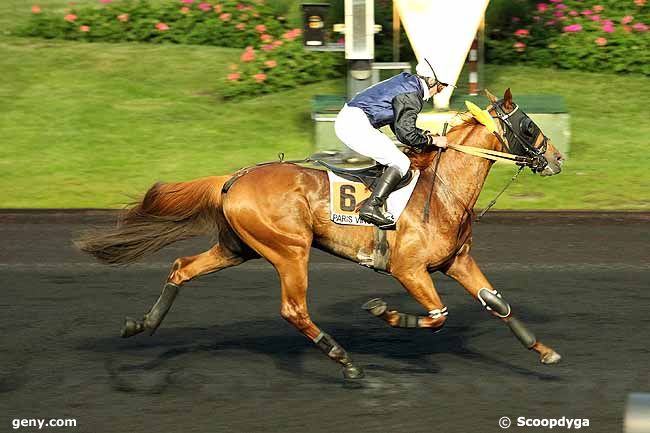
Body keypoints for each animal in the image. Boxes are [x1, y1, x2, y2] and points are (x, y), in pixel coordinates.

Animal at [74, 88, 560, 378]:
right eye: (529, 125)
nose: (556, 158)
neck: (440, 192)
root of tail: (233, 178)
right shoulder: (409, 269)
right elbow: (438, 316)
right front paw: (384, 313)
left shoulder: (456, 261)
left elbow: (497, 302)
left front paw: (543, 351)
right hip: (290, 250)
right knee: (294, 309)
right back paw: (345, 361)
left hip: (238, 247)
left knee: (181, 267)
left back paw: (142, 324)